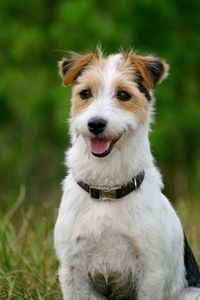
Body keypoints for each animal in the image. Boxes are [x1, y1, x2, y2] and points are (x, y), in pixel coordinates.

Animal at [54, 49, 200, 300]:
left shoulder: (151, 271)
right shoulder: (72, 270)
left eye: (123, 94)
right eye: (85, 93)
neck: (107, 190)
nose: (95, 124)